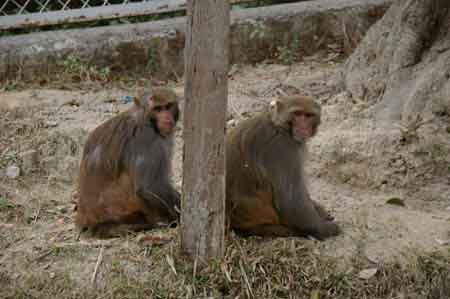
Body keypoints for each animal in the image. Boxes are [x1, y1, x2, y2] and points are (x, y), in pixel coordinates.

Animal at [74, 87, 180, 239]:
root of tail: (86, 221)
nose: (166, 118)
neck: (144, 117)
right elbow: (149, 187)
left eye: (168, 106)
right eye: (157, 109)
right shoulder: (145, 137)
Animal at [227, 95, 340, 240]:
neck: (279, 126)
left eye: (308, 115)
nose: (303, 126)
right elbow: (290, 203)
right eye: (297, 114)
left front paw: (318, 209)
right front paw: (326, 229)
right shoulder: (282, 148)